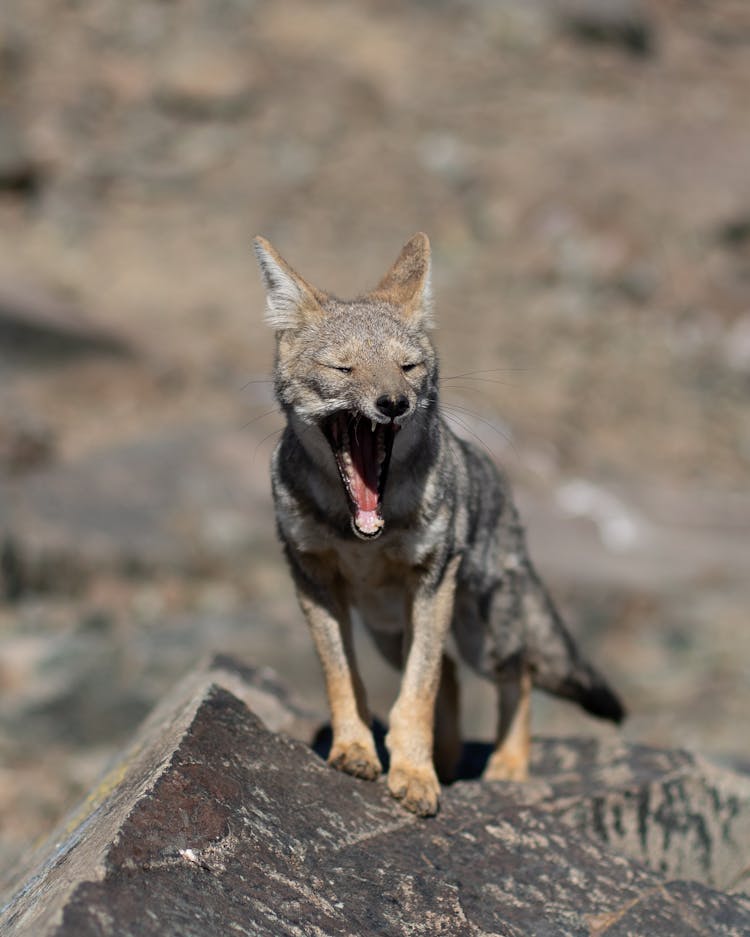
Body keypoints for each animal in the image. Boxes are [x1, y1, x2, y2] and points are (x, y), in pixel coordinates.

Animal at [256, 236, 624, 820]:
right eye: (343, 368)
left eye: (407, 367)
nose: (393, 403)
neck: (360, 531)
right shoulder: (311, 579)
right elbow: (345, 679)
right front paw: (357, 749)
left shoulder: (431, 580)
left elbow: (418, 691)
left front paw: (413, 774)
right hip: (388, 630)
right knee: (450, 674)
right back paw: (449, 762)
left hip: (482, 637)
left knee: (515, 675)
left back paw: (507, 767)